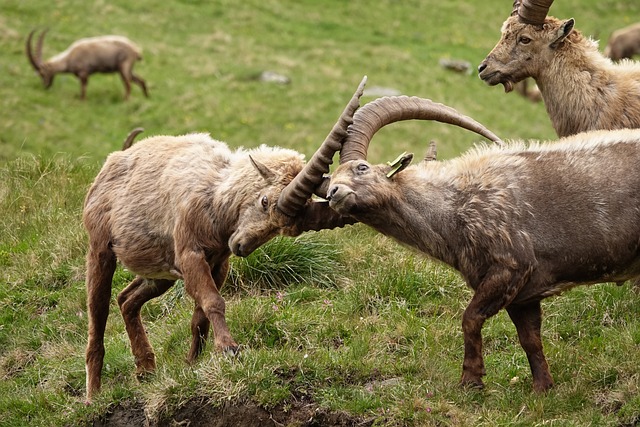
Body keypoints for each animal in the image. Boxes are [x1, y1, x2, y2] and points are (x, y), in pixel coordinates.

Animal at [82, 77, 367, 402]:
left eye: (284, 229)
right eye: (265, 200)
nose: (241, 247)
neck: (216, 195)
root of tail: (111, 163)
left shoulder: (217, 263)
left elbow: (200, 316)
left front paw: (192, 364)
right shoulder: (190, 254)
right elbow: (213, 301)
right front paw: (229, 349)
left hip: (159, 272)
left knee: (127, 299)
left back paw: (146, 369)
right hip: (101, 249)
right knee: (98, 314)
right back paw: (93, 394)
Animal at [326, 95, 640, 392]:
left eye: (362, 167)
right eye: (331, 179)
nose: (332, 193)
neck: (453, 206)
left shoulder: (510, 267)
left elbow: (470, 318)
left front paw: (471, 381)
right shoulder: (524, 294)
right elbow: (530, 339)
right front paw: (542, 388)